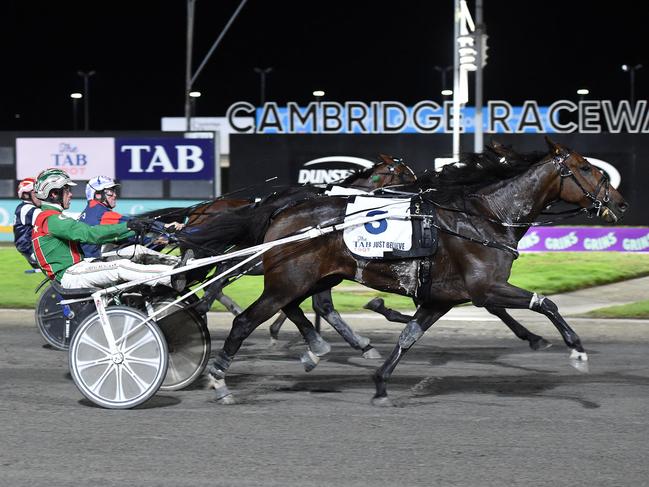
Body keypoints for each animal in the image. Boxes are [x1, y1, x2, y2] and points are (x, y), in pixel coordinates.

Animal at [180, 139, 624, 406]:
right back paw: (219, 378)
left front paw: (380, 384)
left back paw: (315, 349)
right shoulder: (486, 286)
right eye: (587, 169)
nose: (619, 202)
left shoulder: (443, 297)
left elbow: (409, 336)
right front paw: (575, 350)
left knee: (297, 308)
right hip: (288, 279)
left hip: (307, 278)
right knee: (244, 319)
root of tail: (280, 212)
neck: (485, 217)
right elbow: (545, 303)